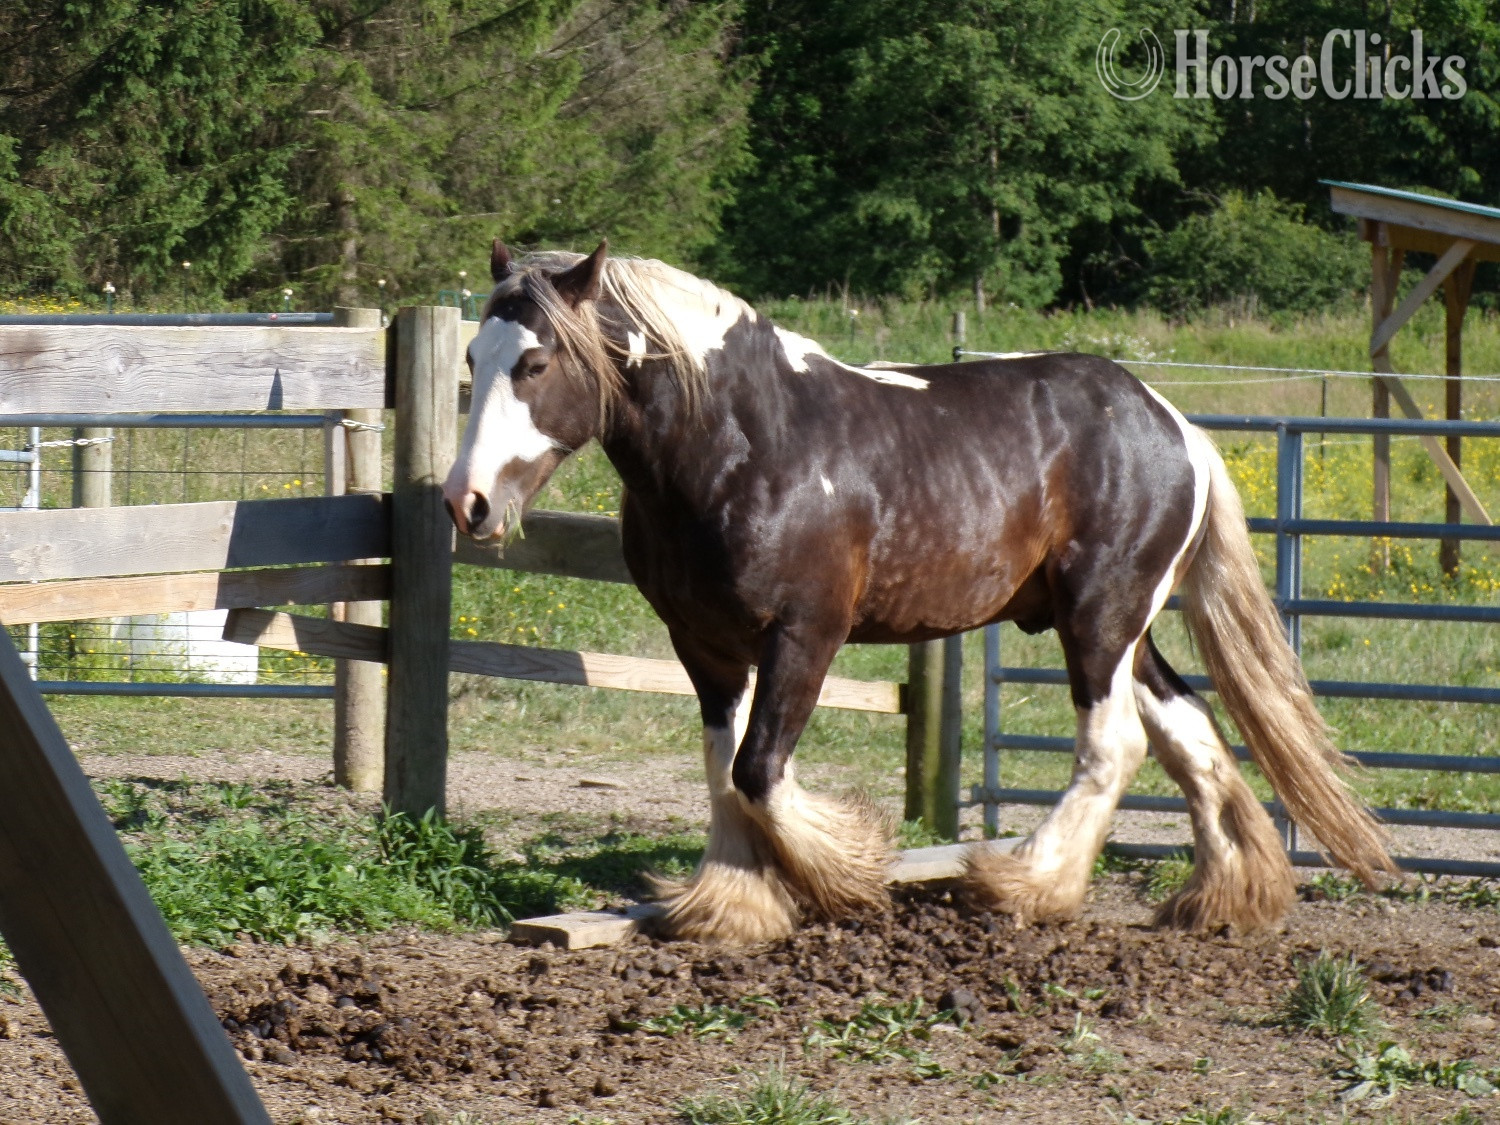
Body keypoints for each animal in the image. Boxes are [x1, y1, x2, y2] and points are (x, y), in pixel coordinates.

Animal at [443, 240, 1395, 945]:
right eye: (473, 356)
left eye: (536, 361)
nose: (467, 501)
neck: (746, 445)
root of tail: (1175, 425)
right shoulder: (705, 644)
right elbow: (723, 772)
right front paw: (732, 904)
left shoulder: (806, 633)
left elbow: (760, 770)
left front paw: (845, 871)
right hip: (1126, 628)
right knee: (1188, 733)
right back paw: (1225, 897)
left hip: (1098, 618)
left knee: (1114, 743)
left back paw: (1025, 883)